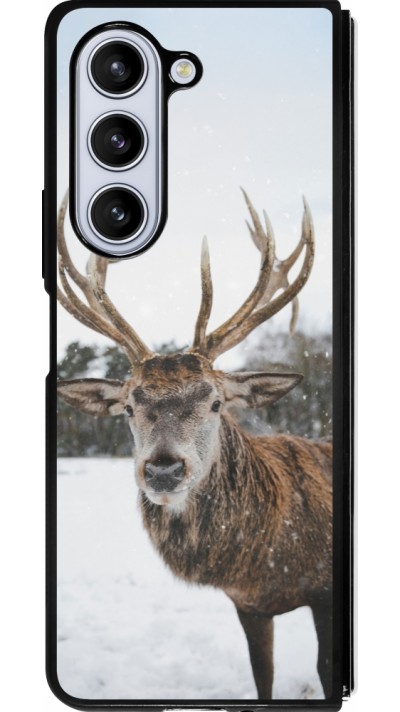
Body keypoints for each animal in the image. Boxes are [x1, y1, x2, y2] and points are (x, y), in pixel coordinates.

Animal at [56, 190, 332, 700]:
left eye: (216, 402)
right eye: (129, 407)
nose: (163, 469)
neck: (268, 563)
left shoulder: (324, 590)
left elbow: (326, 670)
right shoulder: (248, 604)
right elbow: (262, 675)